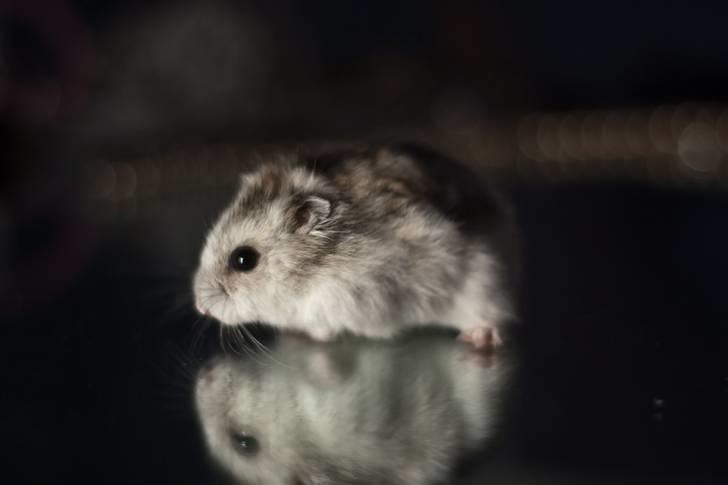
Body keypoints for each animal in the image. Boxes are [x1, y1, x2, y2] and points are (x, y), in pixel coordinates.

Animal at [193, 144, 518, 348]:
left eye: (243, 260)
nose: (200, 308)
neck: (311, 273)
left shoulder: (346, 301)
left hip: (483, 280)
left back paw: (479, 339)